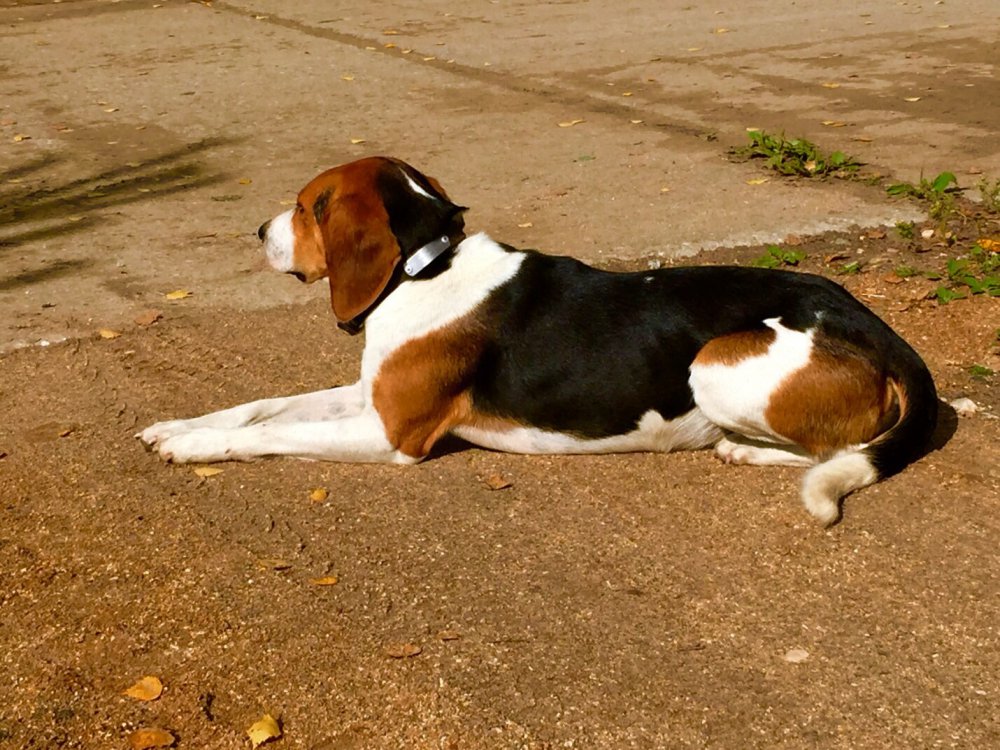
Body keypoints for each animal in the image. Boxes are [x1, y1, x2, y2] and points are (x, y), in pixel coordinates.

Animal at [139, 156, 937, 525]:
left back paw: (738, 447)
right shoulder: (369, 396)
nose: (258, 231)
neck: (425, 266)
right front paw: (178, 425)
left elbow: (271, 433)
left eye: (308, 207)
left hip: (714, 361)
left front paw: (196, 448)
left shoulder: (393, 434)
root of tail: (874, 324)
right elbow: (262, 407)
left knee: (837, 450)